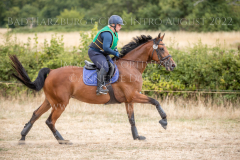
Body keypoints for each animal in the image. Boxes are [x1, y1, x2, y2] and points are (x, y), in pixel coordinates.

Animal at [9, 32, 175, 144]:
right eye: (161, 49)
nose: (173, 65)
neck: (131, 66)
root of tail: (51, 71)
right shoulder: (133, 95)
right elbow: (155, 101)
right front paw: (164, 122)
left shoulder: (129, 99)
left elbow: (131, 118)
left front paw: (137, 136)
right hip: (61, 103)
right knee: (50, 121)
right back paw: (62, 140)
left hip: (50, 101)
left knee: (36, 114)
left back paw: (23, 137)